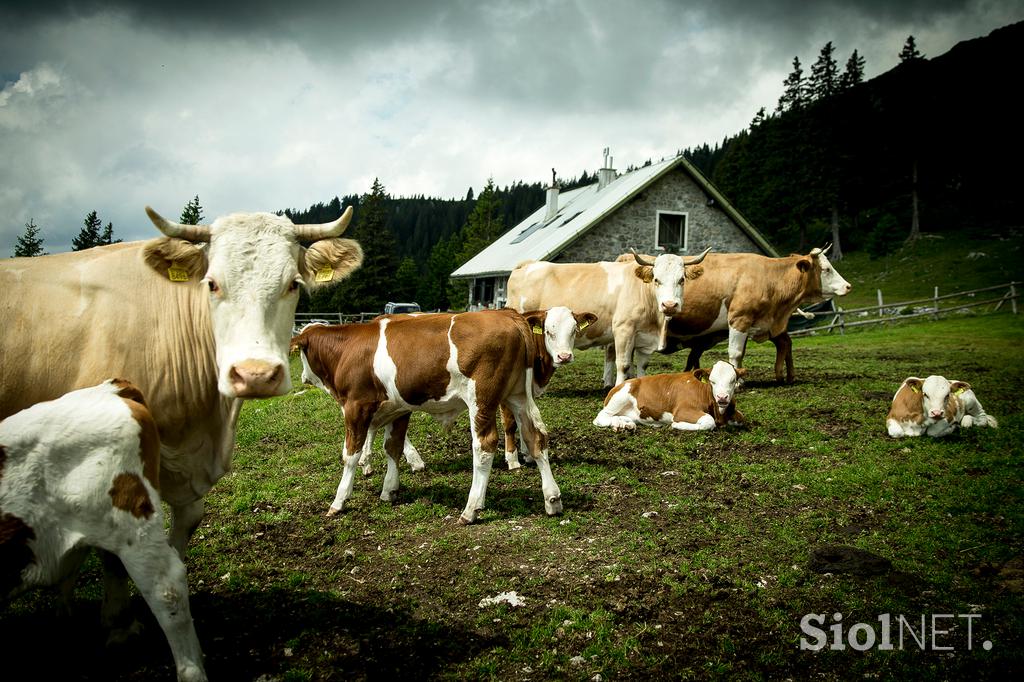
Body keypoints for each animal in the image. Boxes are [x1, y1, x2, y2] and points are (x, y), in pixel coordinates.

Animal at [292, 305, 589, 522]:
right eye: (549, 331)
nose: (303, 377)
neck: (348, 350)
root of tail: (508, 315)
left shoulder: (356, 406)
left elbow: (350, 455)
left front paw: (339, 501)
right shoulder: (398, 408)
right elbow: (392, 448)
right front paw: (390, 490)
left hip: (482, 398)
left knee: (484, 445)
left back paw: (471, 509)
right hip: (518, 396)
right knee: (536, 437)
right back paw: (552, 499)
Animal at [505, 245, 712, 385]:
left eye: (681, 279)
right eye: (656, 279)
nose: (669, 305)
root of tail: (528, 265)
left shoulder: (645, 339)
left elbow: (642, 365)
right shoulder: (623, 330)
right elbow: (624, 364)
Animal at [593, 358, 745, 428]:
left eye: (733, 380)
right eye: (712, 381)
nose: (722, 398)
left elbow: (741, 418)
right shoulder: (682, 410)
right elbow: (708, 421)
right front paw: (677, 425)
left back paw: (624, 424)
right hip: (620, 397)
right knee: (601, 417)